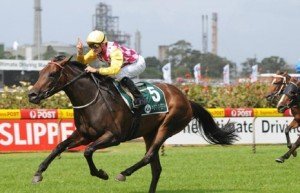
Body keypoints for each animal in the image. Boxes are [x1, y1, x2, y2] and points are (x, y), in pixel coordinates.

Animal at [28, 55, 239, 192]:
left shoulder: (113, 137)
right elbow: (59, 146)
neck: (93, 100)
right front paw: (38, 173)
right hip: (149, 133)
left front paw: (101, 174)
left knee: (148, 157)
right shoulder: (84, 134)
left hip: (167, 126)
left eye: (53, 74)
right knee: (156, 168)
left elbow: (88, 151)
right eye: (40, 72)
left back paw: (124, 173)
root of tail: (186, 99)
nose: (32, 94)